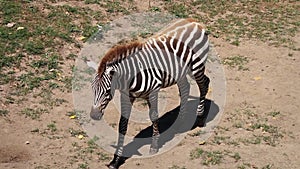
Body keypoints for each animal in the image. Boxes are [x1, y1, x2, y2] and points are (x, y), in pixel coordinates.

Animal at [91, 18, 211, 169]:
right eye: (92, 89)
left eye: (107, 91)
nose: (94, 116)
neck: (132, 77)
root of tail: (194, 21)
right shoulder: (127, 96)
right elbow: (122, 125)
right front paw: (116, 160)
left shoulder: (153, 91)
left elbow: (154, 116)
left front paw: (154, 146)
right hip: (180, 71)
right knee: (185, 88)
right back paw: (180, 123)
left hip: (196, 66)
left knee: (204, 84)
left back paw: (200, 118)